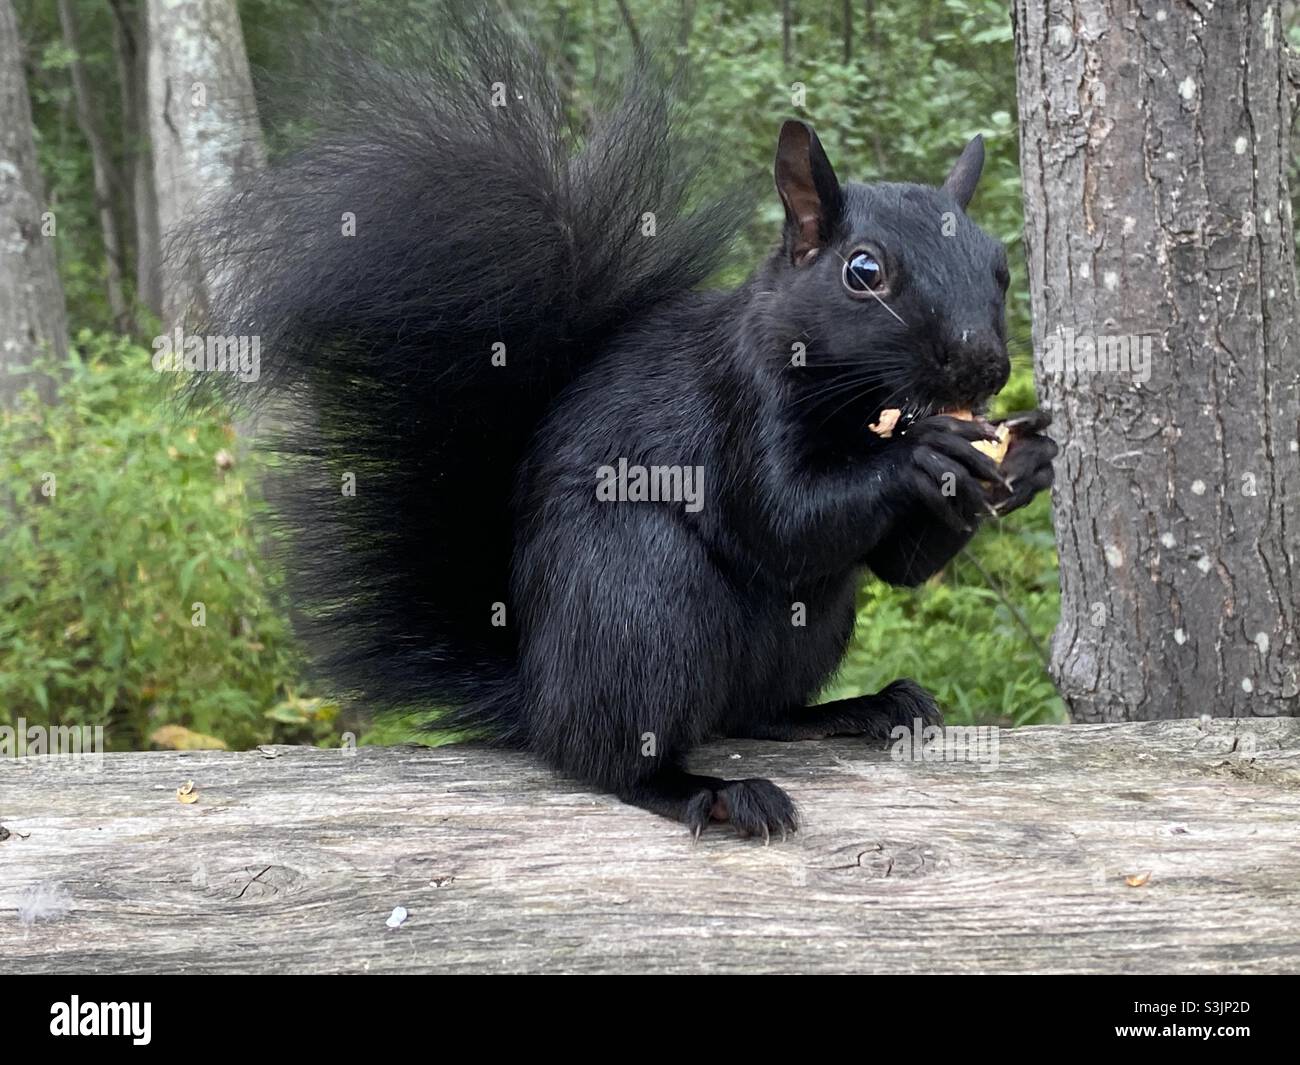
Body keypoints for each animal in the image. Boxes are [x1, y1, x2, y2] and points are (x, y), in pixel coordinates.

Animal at [200, 20, 1055, 842]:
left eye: (999, 263)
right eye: (864, 271)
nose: (983, 365)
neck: (852, 404)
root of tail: (540, 691)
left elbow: (898, 566)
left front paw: (1029, 461)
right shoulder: (734, 400)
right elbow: (780, 520)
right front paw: (924, 453)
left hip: (807, 626)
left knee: (753, 712)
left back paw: (856, 707)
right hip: (638, 597)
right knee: (608, 756)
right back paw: (709, 791)